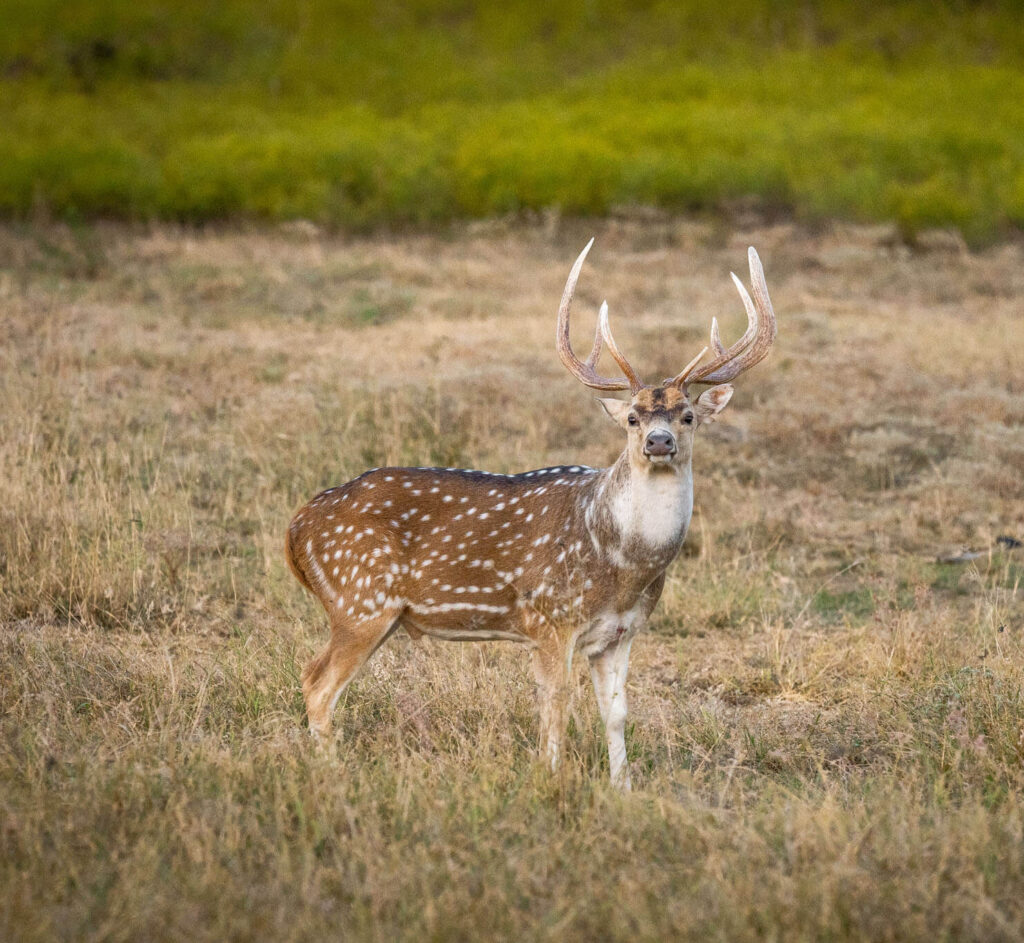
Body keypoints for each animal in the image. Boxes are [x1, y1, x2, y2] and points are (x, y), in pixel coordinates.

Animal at [286, 240, 777, 788]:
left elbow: (616, 712)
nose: (658, 441)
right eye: (632, 417)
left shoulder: (620, 633)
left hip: (369, 609)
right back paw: (332, 773)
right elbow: (555, 701)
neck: (622, 565)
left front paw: (623, 789)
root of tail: (297, 526)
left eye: (688, 416)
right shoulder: (549, 617)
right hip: (360, 600)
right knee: (317, 683)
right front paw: (551, 778)